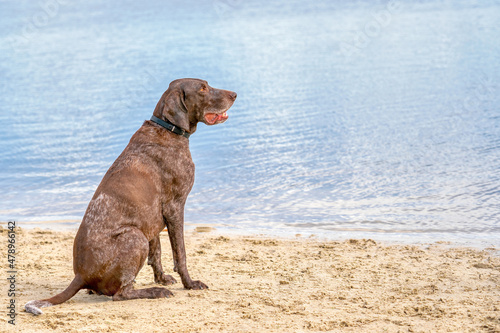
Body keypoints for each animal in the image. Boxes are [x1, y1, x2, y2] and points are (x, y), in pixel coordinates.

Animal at [25, 78, 238, 314]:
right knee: (121, 294)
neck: (167, 128)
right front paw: (189, 283)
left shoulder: (151, 218)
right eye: (202, 88)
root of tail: (80, 276)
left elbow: (157, 253)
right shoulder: (175, 208)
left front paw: (161, 278)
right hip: (135, 236)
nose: (235, 94)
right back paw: (154, 292)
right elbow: (180, 254)